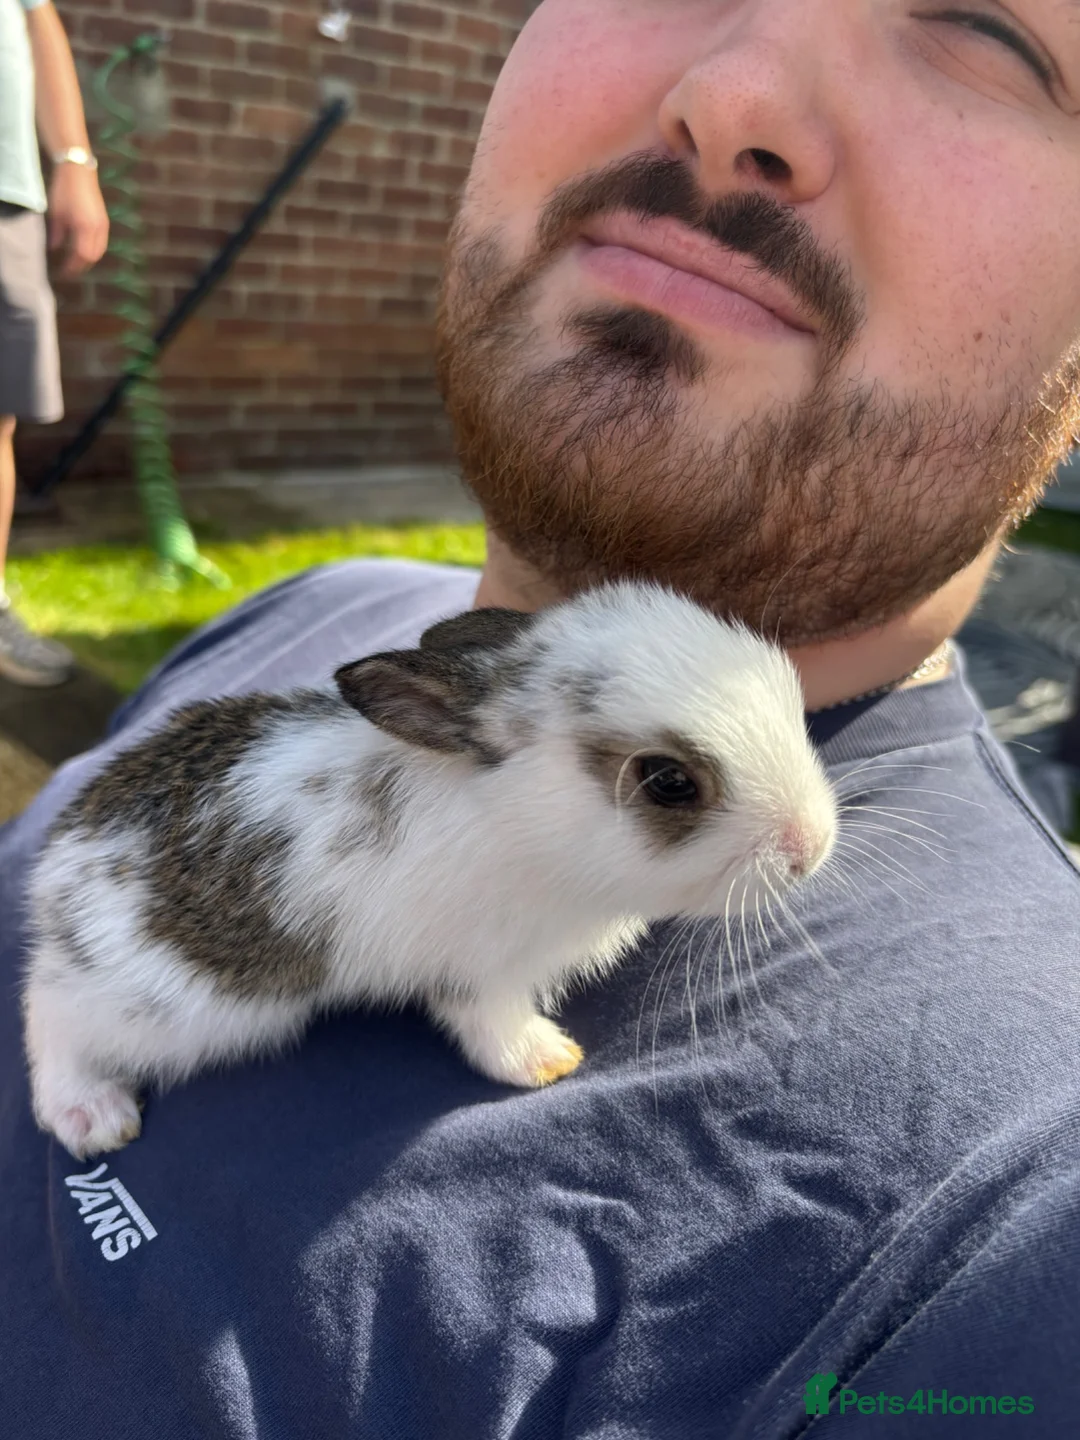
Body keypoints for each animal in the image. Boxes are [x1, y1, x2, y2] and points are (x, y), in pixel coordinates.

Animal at [21, 579, 839, 1159]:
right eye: (669, 782)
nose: (811, 846)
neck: (526, 822)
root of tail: (59, 870)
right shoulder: (481, 972)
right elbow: (489, 1025)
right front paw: (547, 1062)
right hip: (165, 1004)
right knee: (50, 1013)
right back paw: (91, 1114)